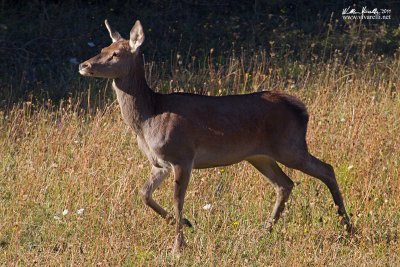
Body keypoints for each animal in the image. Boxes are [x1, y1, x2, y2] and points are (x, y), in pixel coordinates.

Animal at [78, 19, 354, 254]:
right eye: (103, 46)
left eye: (116, 54)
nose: (84, 65)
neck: (148, 118)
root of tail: (302, 109)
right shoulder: (159, 163)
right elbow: (144, 194)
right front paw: (187, 224)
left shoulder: (182, 156)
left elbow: (177, 201)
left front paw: (178, 247)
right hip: (260, 155)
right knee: (285, 184)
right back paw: (263, 232)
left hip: (290, 146)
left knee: (327, 169)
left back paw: (349, 228)